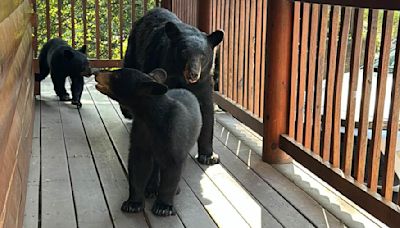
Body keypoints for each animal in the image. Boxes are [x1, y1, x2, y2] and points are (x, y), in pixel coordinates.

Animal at [95, 67, 202, 216]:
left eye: (116, 76)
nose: (96, 73)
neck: (148, 118)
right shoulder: (140, 133)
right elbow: (138, 168)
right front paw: (133, 203)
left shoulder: (174, 139)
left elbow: (171, 173)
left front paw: (163, 206)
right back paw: (151, 187)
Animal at [123, 7, 223, 164]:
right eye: (184, 52)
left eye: (203, 56)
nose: (193, 74)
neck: (181, 76)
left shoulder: (204, 80)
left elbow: (206, 109)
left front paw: (209, 156)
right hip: (134, 50)